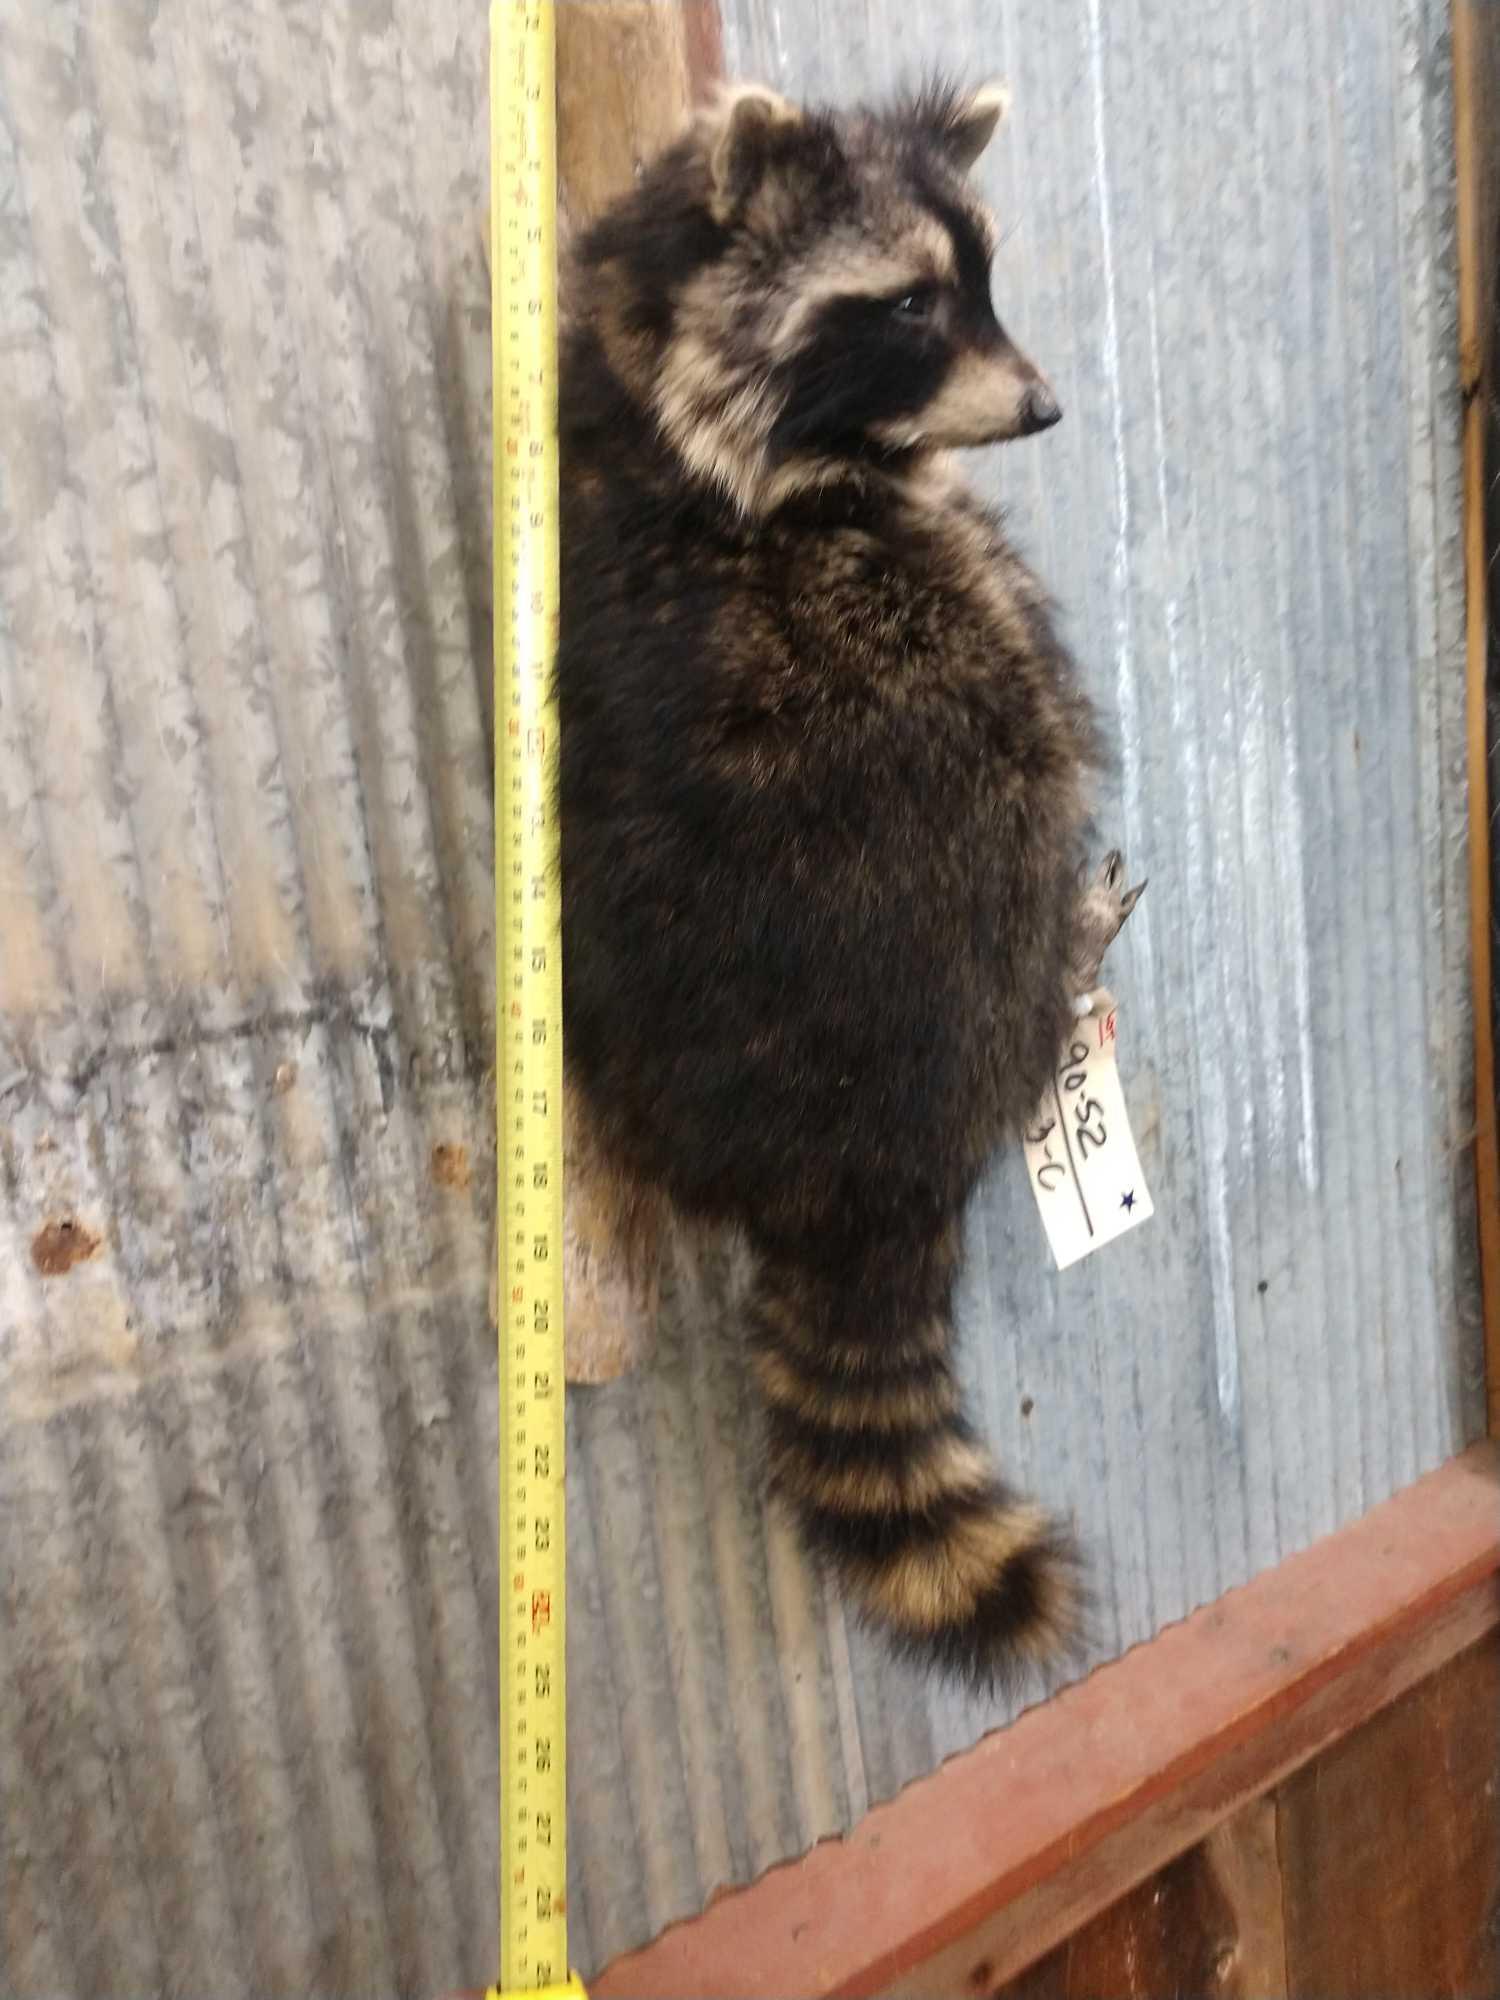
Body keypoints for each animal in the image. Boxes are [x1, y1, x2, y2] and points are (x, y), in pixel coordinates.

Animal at [560, 78, 1144, 1680]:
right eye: (905, 305)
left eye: (984, 278)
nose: (1045, 406)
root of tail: (850, 1174)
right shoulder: (906, 554)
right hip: (977, 841)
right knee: (1023, 724)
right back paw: (1074, 948)